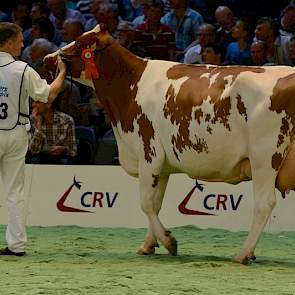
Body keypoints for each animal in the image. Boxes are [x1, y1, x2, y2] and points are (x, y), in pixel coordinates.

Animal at [44, 26, 295, 266]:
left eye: (79, 43)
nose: (48, 58)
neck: (131, 87)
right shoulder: (162, 166)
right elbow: (156, 203)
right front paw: (148, 244)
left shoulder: (149, 153)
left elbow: (146, 203)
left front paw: (168, 241)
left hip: (264, 157)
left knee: (264, 203)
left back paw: (243, 254)